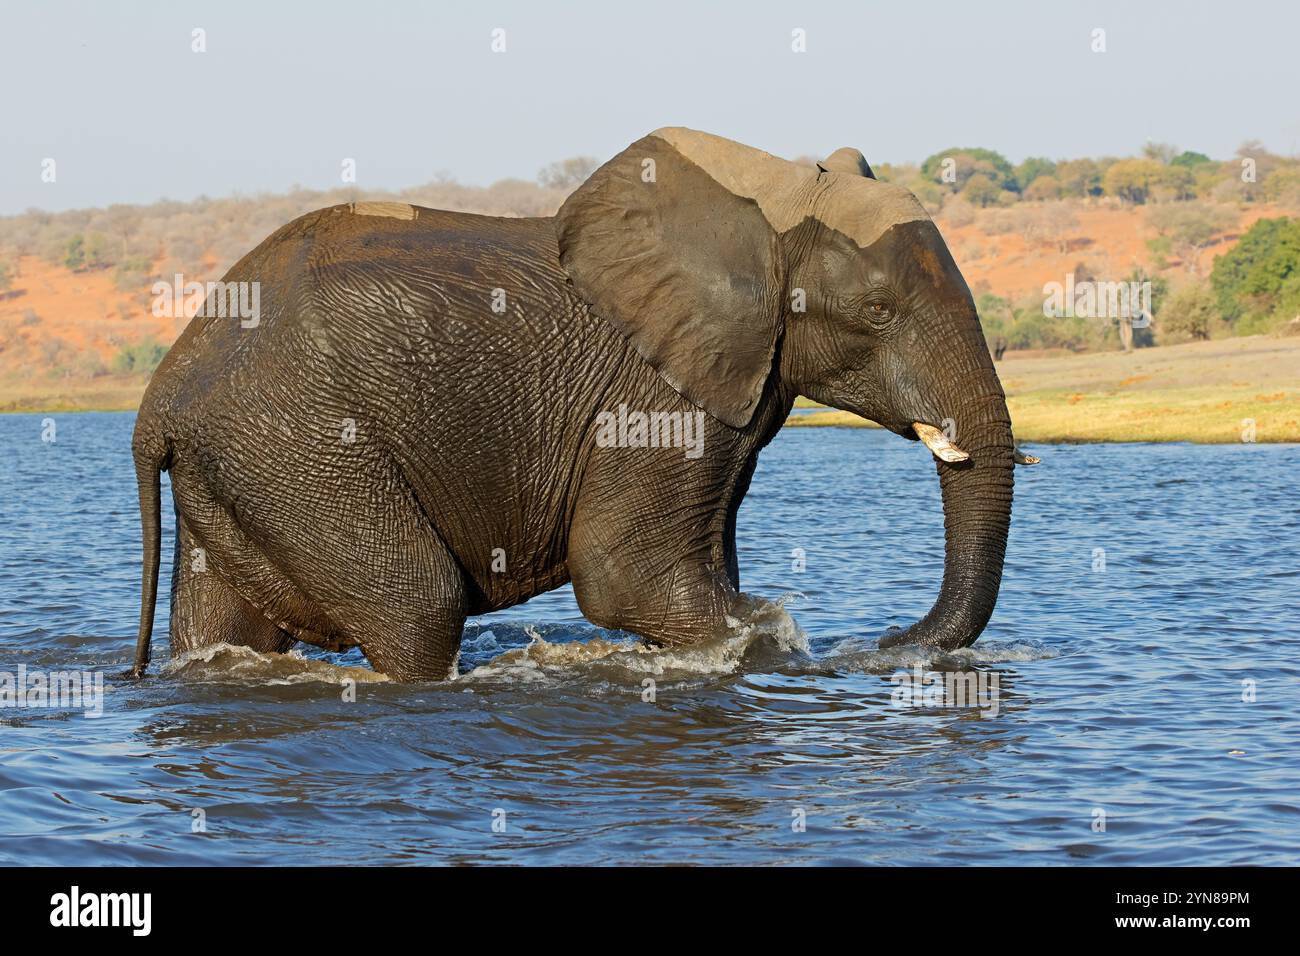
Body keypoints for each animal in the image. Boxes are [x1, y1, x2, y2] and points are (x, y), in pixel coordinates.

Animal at [124, 128, 1034, 681]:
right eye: (878, 310)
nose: (885, 642)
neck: (769, 204)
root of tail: (158, 398)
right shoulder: (654, 391)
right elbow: (629, 578)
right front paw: (770, 643)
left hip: (244, 465)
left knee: (228, 624)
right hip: (301, 446)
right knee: (420, 607)